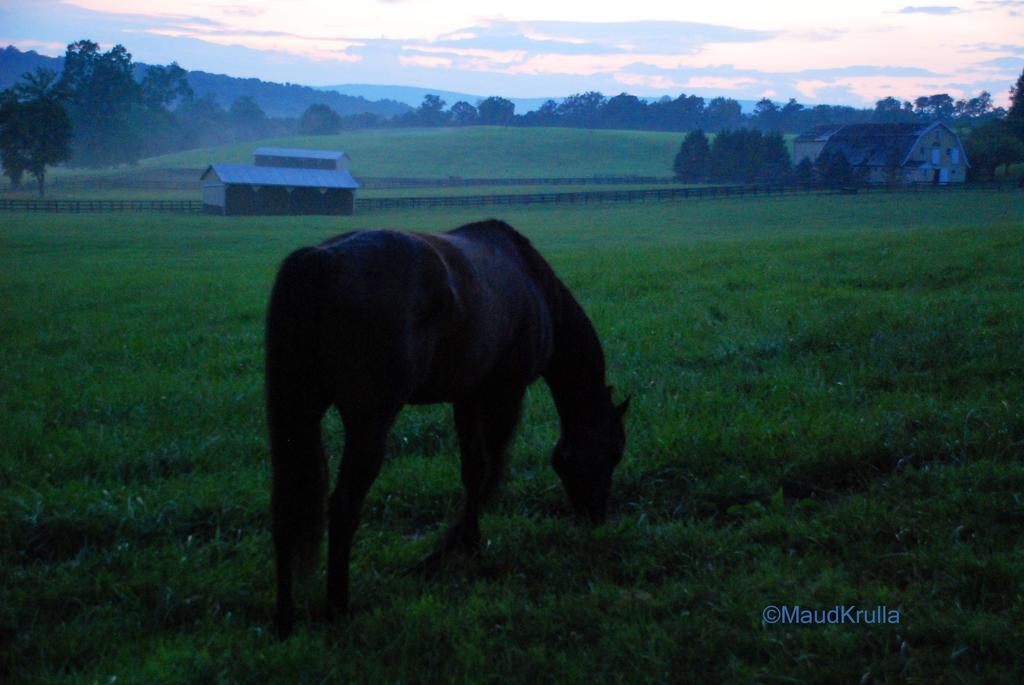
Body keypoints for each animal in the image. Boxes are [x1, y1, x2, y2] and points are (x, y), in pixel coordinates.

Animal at [264, 218, 626, 634]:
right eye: (613, 453)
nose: (597, 516)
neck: (534, 286)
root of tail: (321, 260)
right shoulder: (506, 391)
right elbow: (492, 469)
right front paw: (449, 548)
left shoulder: (466, 397)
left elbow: (473, 470)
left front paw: (466, 542)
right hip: (370, 423)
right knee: (343, 505)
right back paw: (338, 607)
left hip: (300, 414)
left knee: (287, 507)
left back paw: (284, 618)